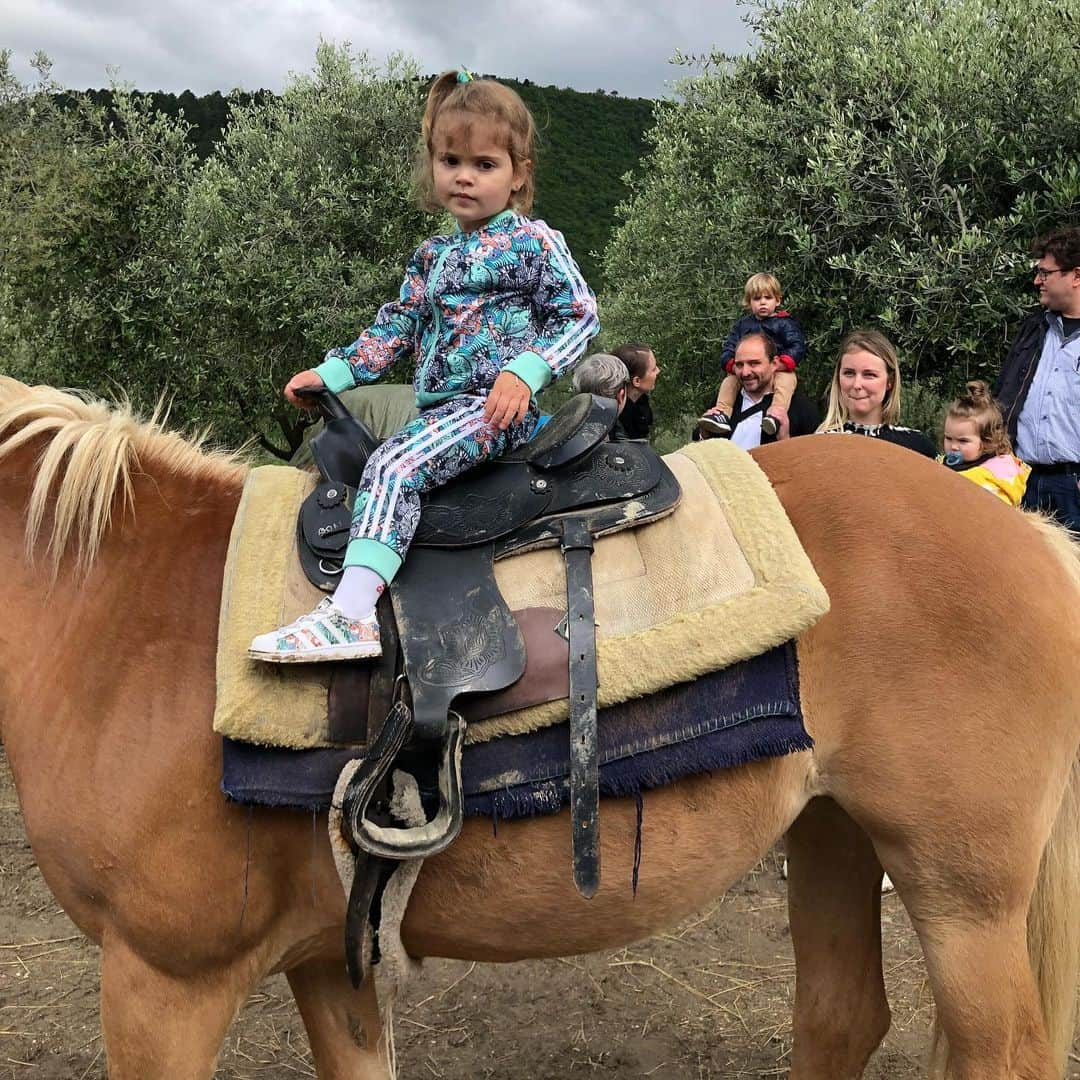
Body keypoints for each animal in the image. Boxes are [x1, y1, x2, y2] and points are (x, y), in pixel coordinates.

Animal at [0, 375, 1075, 1075]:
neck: (129, 609)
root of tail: (1030, 533)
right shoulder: (331, 961)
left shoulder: (160, 984)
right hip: (832, 832)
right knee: (842, 1016)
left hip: (964, 892)